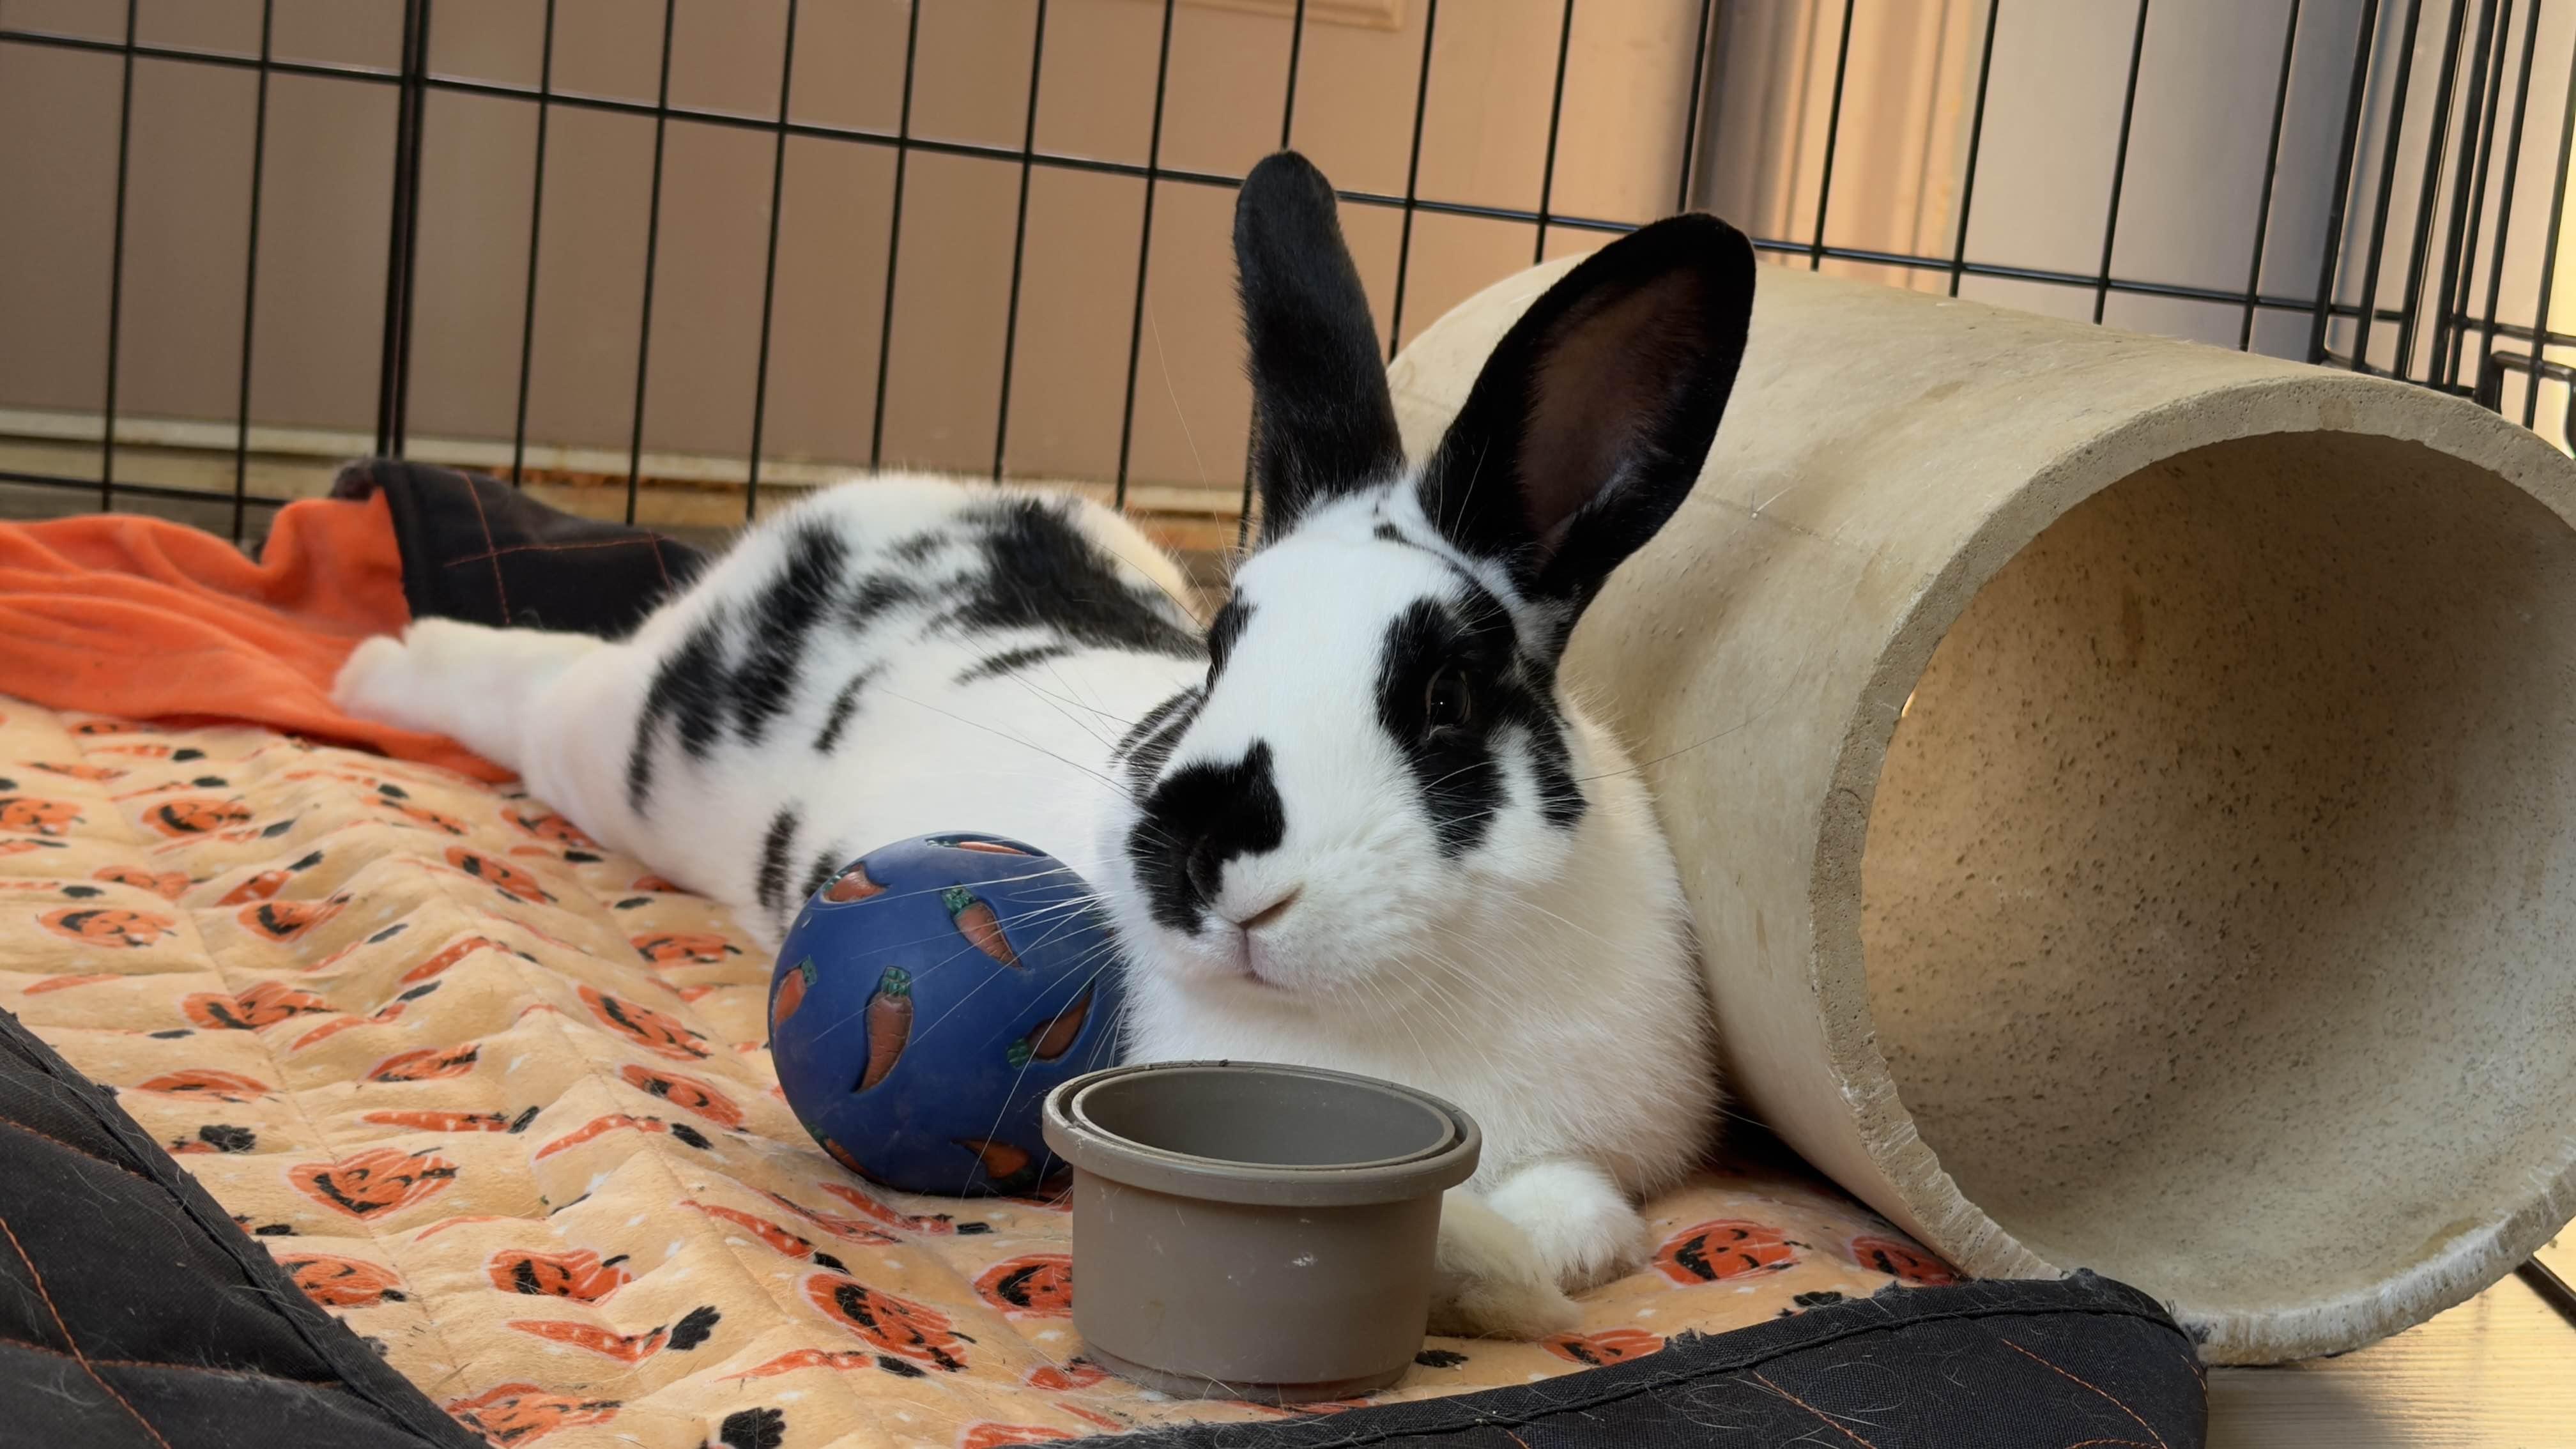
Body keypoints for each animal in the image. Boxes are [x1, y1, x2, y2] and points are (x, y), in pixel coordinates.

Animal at [333, 149, 1757, 1340]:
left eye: (1447, 696)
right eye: (1221, 649)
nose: (1203, 857)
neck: (1408, 1004)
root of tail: (863, 506)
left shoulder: (1603, 1158)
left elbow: (1581, 1214)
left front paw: (1513, 1265)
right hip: (630, 758)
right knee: (534, 688)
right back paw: (373, 666)